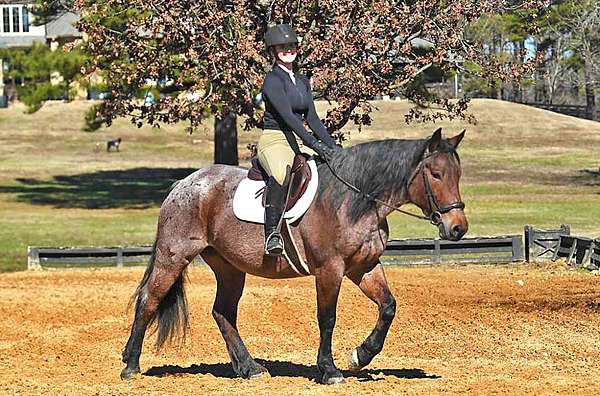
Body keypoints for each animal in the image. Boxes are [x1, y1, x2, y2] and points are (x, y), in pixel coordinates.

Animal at [120, 128, 468, 386]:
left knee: (223, 312)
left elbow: (388, 307)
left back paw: (249, 368)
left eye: (457, 174)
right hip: (173, 257)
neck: (354, 199)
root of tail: (183, 184)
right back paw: (131, 366)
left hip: (230, 268)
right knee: (149, 300)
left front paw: (361, 355)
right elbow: (327, 318)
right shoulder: (330, 269)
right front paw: (329, 370)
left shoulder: (364, 267)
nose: (458, 228)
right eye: (436, 174)